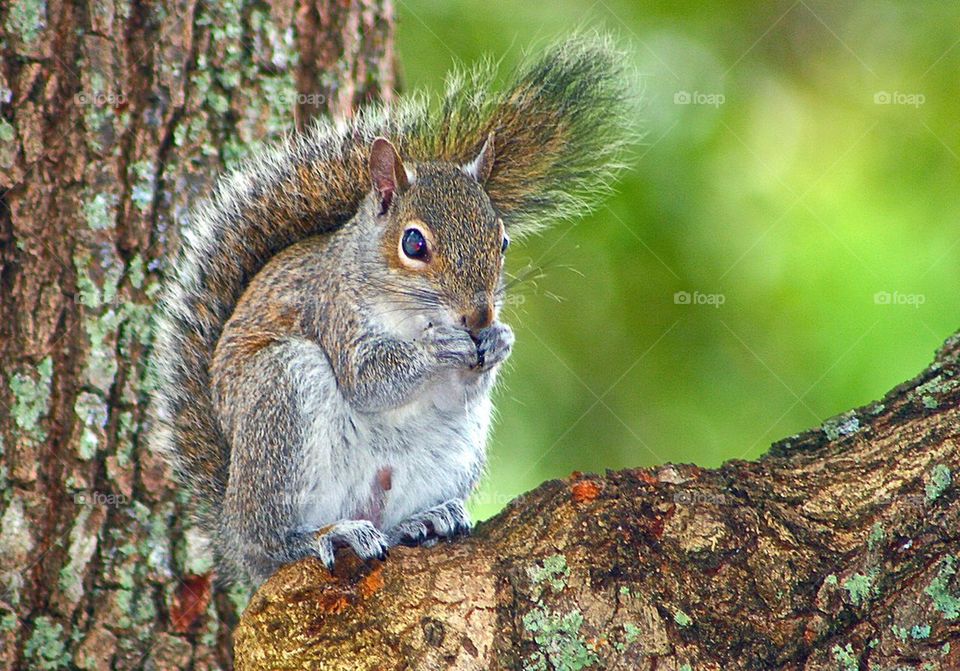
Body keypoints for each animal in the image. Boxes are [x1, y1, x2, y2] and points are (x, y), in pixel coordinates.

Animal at [151, 35, 630, 586]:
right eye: (414, 243)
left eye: (503, 242)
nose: (479, 319)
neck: (408, 311)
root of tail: (230, 533)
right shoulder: (333, 309)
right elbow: (367, 378)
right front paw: (437, 347)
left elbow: (458, 388)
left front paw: (499, 342)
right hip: (283, 397)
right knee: (272, 543)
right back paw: (324, 535)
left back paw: (426, 520)